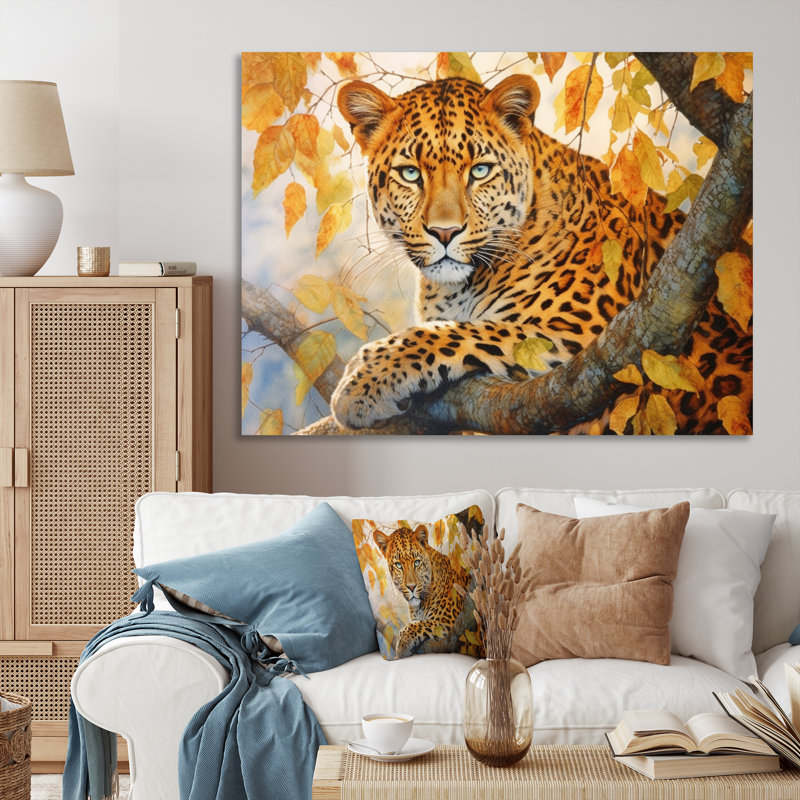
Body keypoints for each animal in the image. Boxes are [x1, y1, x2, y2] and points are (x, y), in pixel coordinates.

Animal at [331, 73, 752, 434]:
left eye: (480, 171)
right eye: (411, 174)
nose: (445, 232)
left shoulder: (587, 337)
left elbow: (461, 332)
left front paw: (361, 382)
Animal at [374, 525, 475, 659]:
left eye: (417, 562)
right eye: (398, 565)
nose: (411, 587)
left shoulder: (445, 622)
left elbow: (415, 625)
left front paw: (401, 646)